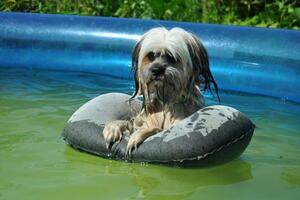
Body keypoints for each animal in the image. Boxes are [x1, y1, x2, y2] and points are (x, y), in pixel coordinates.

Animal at [102, 27, 218, 155]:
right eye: (151, 55)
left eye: (172, 57)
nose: (156, 69)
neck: (165, 102)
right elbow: (129, 123)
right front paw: (113, 128)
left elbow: (155, 129)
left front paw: (139, 134)